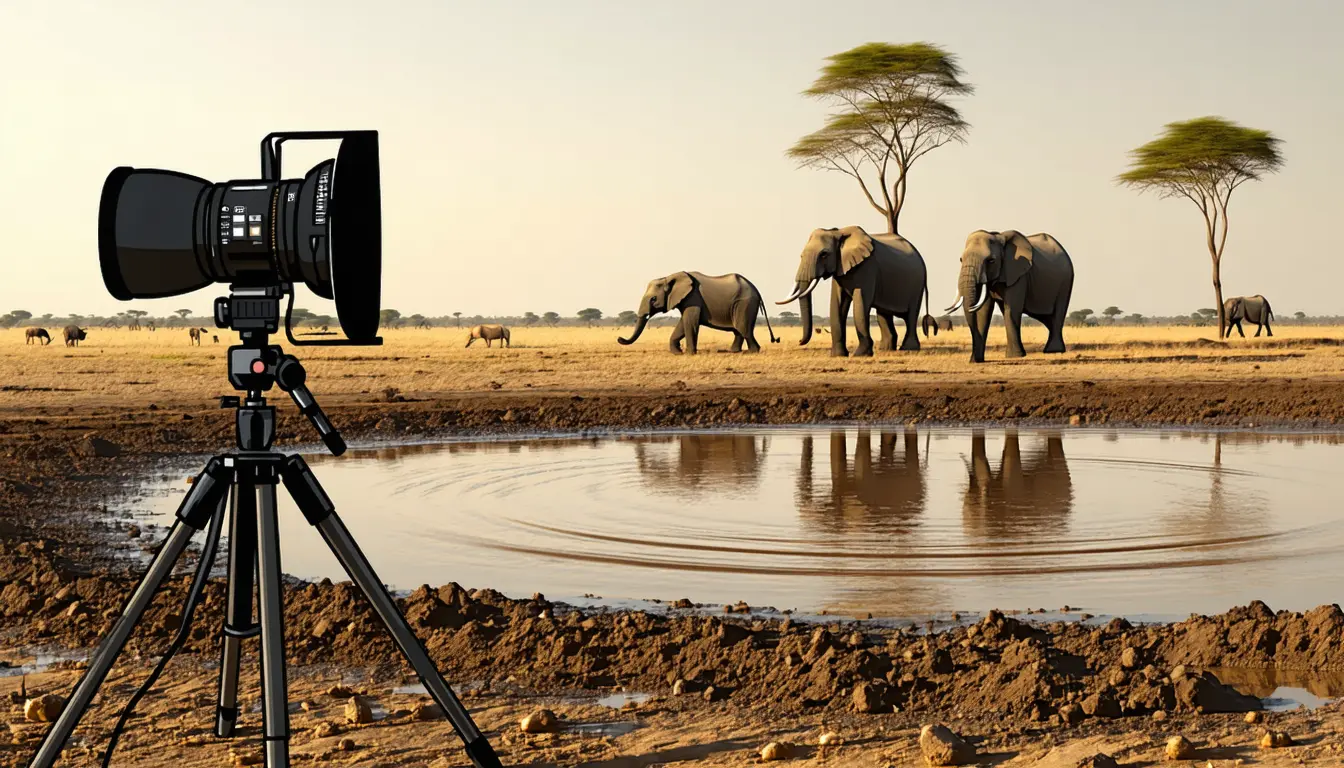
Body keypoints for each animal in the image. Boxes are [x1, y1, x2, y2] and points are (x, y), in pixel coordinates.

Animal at [618, 271, 778, 354]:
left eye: (653, 299)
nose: (619, 339)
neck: (669, 277)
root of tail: (756, 290)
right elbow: (683, 323)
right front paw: (677, 353)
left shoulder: (693, 298)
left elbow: (690, 322)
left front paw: (689, 353)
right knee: (739, 330)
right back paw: (733, 351)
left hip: (744, 304)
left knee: (743, 329)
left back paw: (753, 351)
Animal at [778, 226, 935, 357]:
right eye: (801, 255)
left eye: (824, 254)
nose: (799, 341)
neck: (838, 232)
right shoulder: (840, 268)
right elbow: (837, 304)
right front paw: (838, 356)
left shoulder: (867, 267)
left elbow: (861, 303)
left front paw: (860, 355)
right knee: (884, 314)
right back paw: (885, 349)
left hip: (918, 283)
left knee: (911, 314)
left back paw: (908, 349)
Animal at [946, 230, 1075, 362]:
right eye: (961, 259)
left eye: (991, 260)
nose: (974, 359)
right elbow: (983, 312)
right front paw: (976, 360)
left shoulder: (1019, 275)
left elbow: (1012, 309)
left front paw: (1015, 356)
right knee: (1047, 318)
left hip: (1066, 281)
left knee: (1058, 312)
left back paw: (1053, 351)